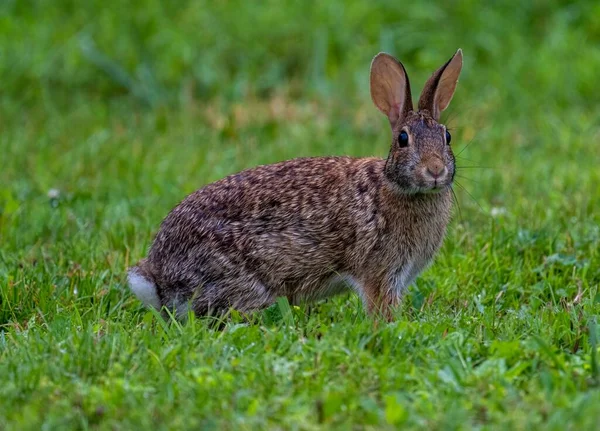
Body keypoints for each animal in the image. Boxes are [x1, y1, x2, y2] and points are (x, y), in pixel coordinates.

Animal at [127, 49, 464, 320]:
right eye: (403, 139)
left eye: (447, 136)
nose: (435, 170)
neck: (394, 186)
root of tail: (158, 280)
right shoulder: (380, 271)